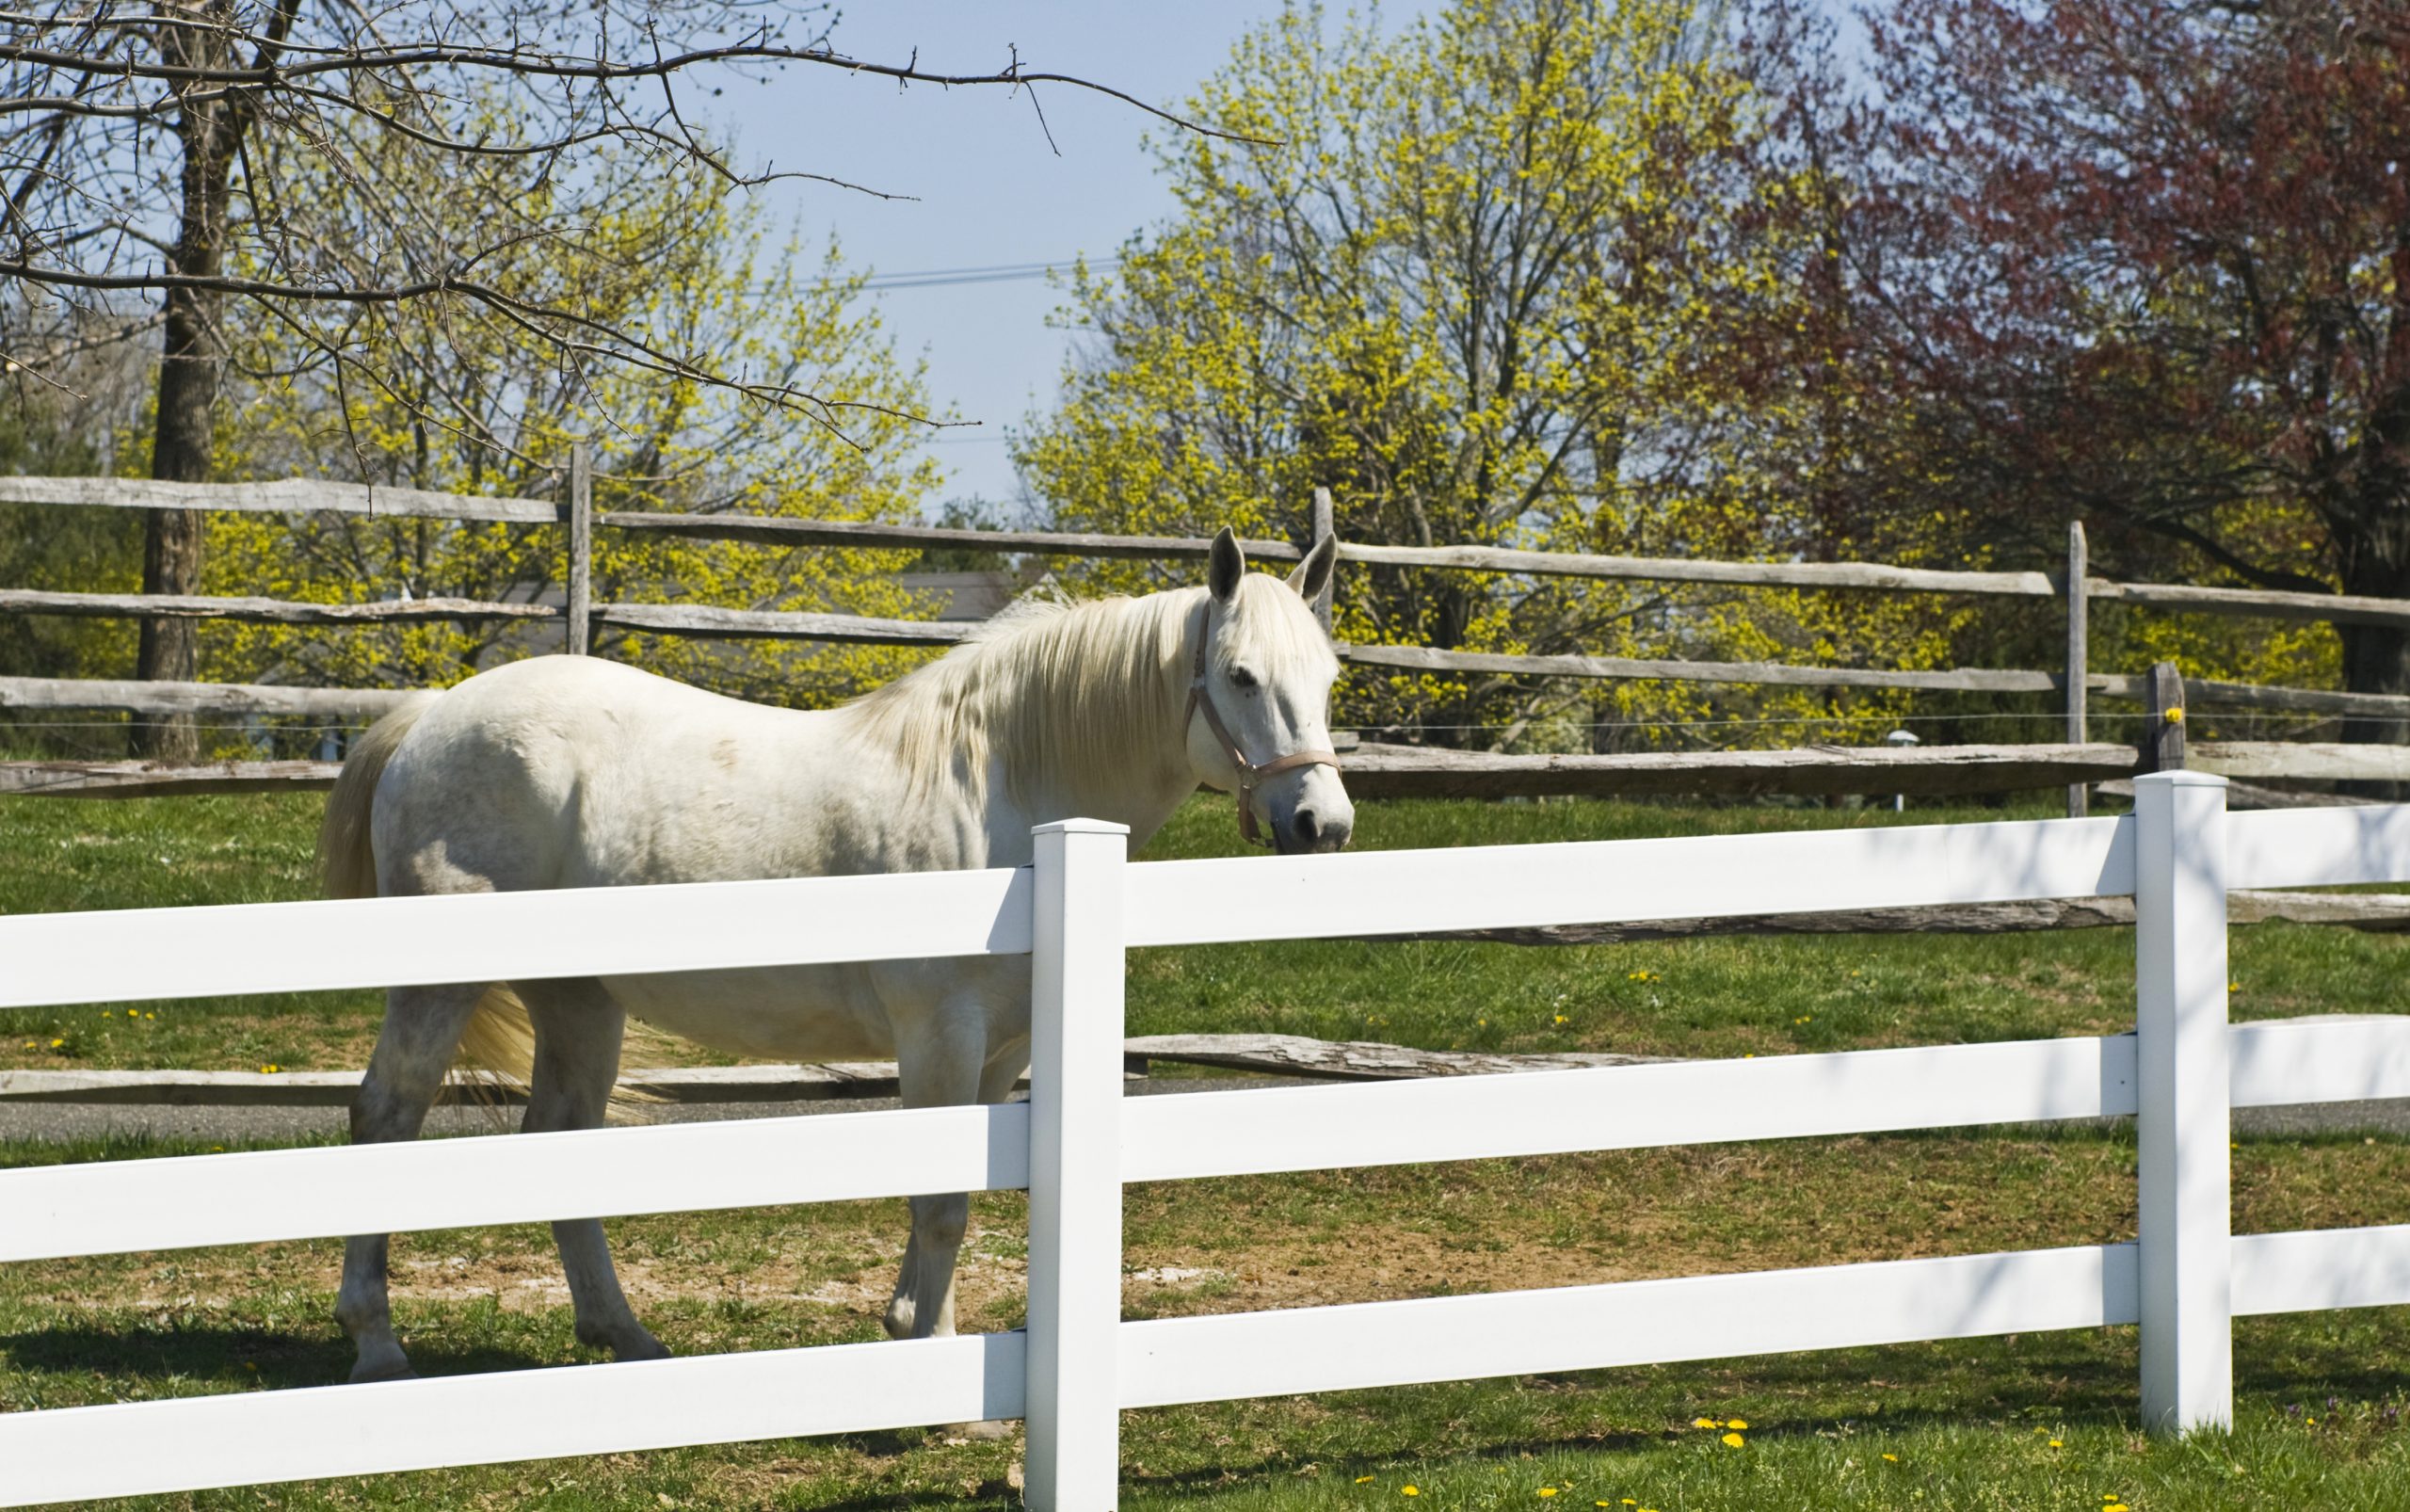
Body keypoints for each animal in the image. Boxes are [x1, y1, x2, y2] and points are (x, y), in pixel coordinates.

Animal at [311, 530, 1349, 1389]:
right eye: (1242, 676)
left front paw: (931, 1342)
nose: (1322, 824)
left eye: (1330, 677)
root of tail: (431, 716)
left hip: (580, 1001)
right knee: (384, 1119)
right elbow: (939, 1201)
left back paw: (625, 1334)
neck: (1001, 786)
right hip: (440, 987)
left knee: (560, 1135)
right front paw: (923, 1369)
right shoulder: (938, 1036)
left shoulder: (1003, 1049)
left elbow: (964, 1193)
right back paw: (378, 1344)